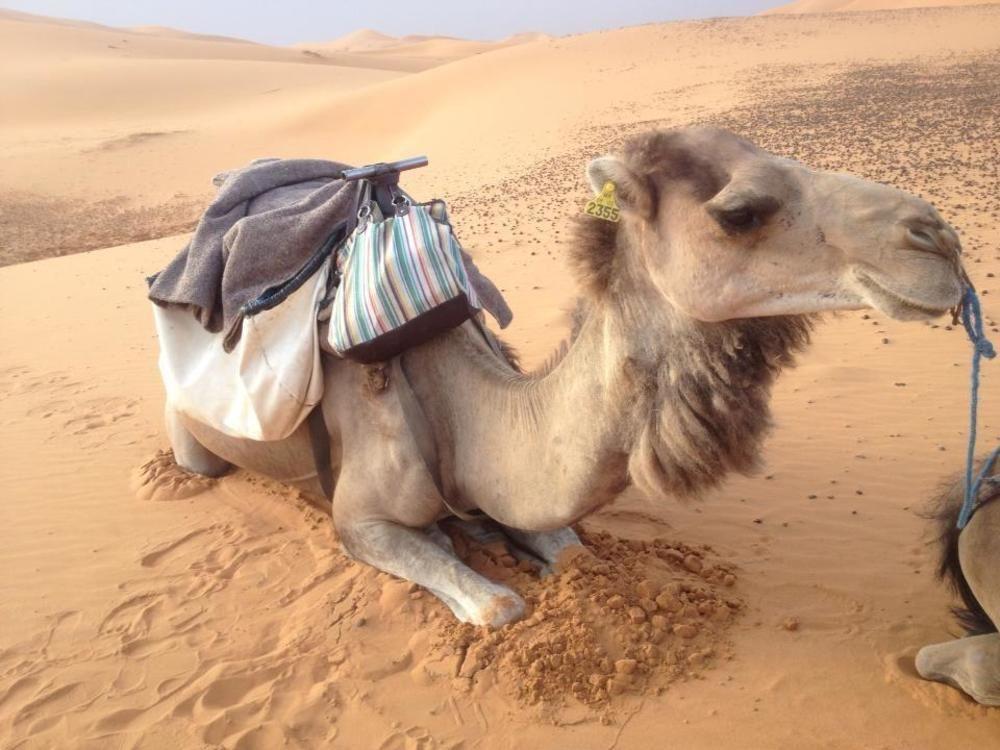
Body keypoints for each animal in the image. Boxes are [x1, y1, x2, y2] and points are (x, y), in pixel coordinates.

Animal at [162, 128, 968, 628]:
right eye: (740, 212)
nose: (937, 238)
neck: (458, 405)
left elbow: (571, 549)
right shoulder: (357, 518)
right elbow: (499, 604)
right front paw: (475, 557)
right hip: (193, 442)